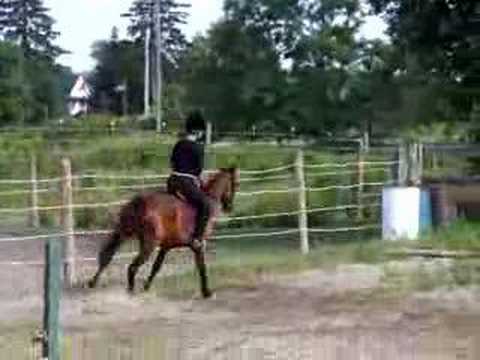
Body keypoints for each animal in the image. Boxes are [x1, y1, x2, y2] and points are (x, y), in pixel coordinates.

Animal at [88, 168, 240, 298]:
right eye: (236, 184)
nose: (229, 207)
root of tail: (139, 202)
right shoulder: (199, 245)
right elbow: (202, 267)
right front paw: (207, 292)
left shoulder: (166, 246)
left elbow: (156, 267)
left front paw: (147, 287)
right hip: (148, 244)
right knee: (132, 267)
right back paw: (130, 291)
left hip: (124, 232)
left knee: (107, 256)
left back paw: (92, 283)